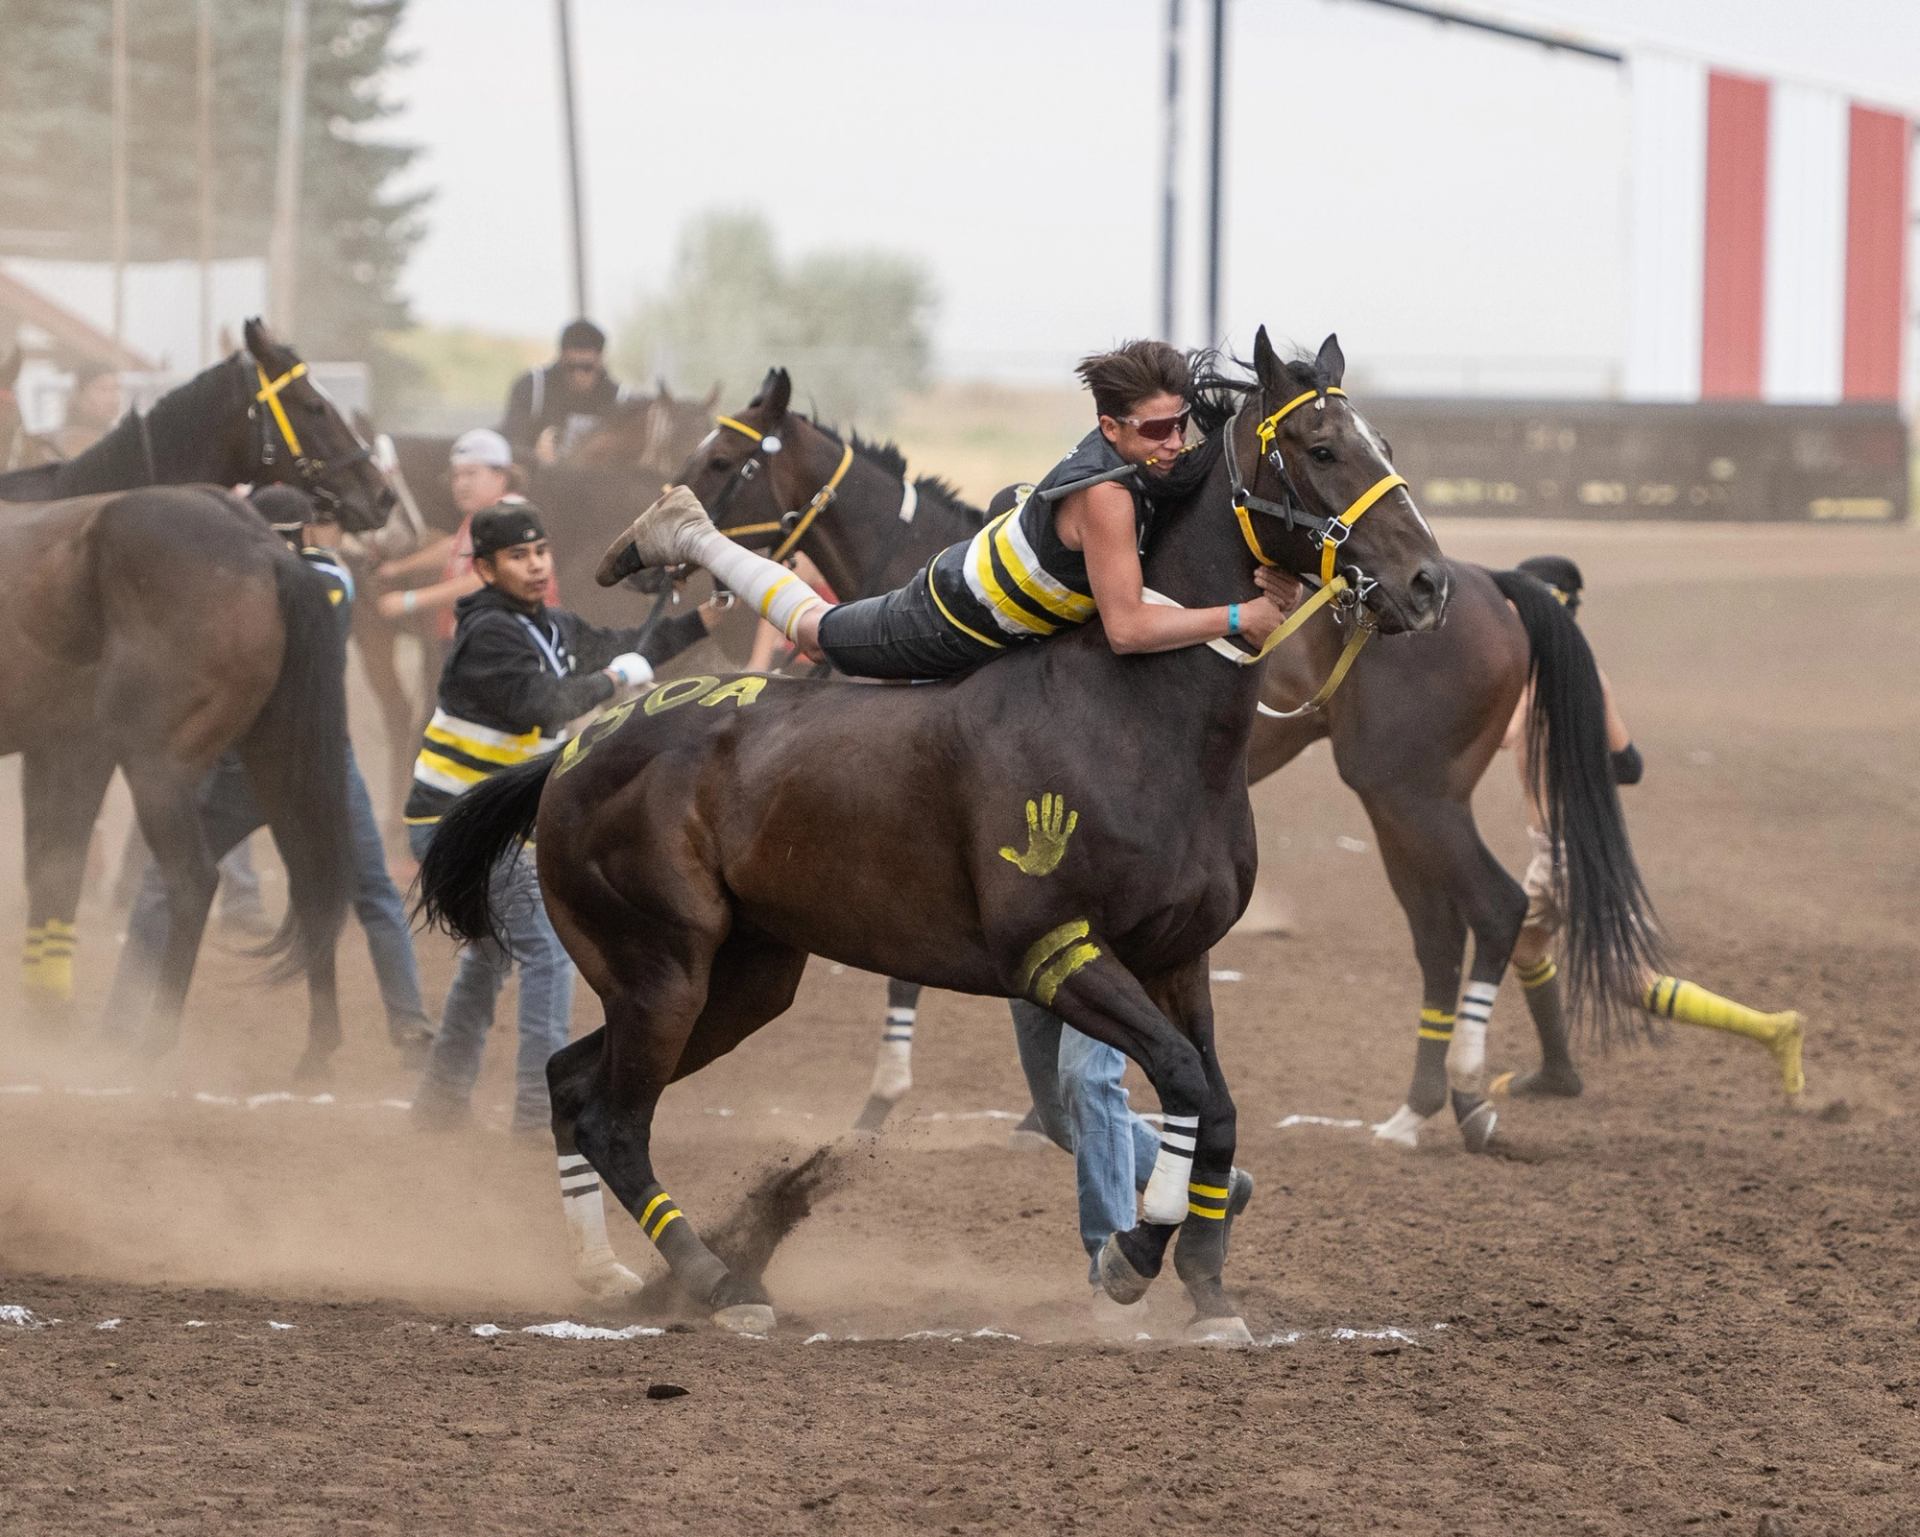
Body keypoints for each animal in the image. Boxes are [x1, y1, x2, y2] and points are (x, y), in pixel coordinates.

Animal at [0, 319, 396, 1079]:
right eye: (310, 404)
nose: (382, 495)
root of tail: (262, 549)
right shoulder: (61, 748)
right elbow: (51, 869)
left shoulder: (76, 751)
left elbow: (53, 870)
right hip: (274, 756)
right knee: (311, 875)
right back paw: (316, 1047)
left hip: (158, 764)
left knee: (191, 881)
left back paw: (149, 1045)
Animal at [418, 329, 1454, 1339]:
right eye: (1321, 447)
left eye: (1380, 444)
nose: (1428, 581)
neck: (1135, 713)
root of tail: (571, 751)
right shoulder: (1056, 950)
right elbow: (1182, 1084)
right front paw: (1129, 1257)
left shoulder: (1177, 954)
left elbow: (1216, 1100)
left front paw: (1207, 1282)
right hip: (662, 964)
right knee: (614, 1118)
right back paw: (719, 1280)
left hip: (743, 976)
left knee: (571, 1083)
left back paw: (612, 1274)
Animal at [663, 362, 1661, 1152]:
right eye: (1329, 446)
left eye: (717, 461)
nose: (1423, 580)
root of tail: (1495, 585)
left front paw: (912, 1100)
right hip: (1396, 799)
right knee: (1442, 930)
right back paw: (1418, 1107)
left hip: (1412, 792)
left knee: (1494, 908)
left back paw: (1464, 1094)